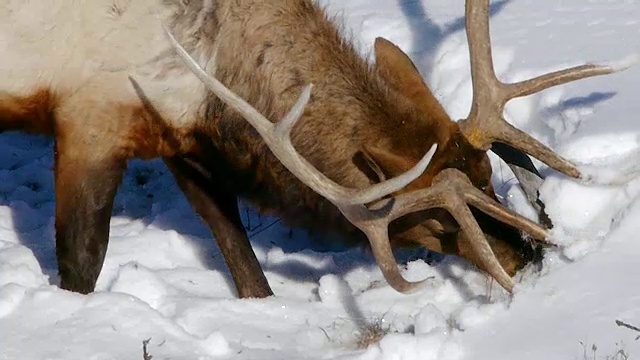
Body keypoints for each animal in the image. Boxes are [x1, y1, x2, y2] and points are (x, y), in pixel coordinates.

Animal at [0, 0, 632, 298]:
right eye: (434, 223)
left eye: (487, 176)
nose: (528, 259)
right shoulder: (90, 120)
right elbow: (82, 265)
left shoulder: (184, 135)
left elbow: (240, 253)